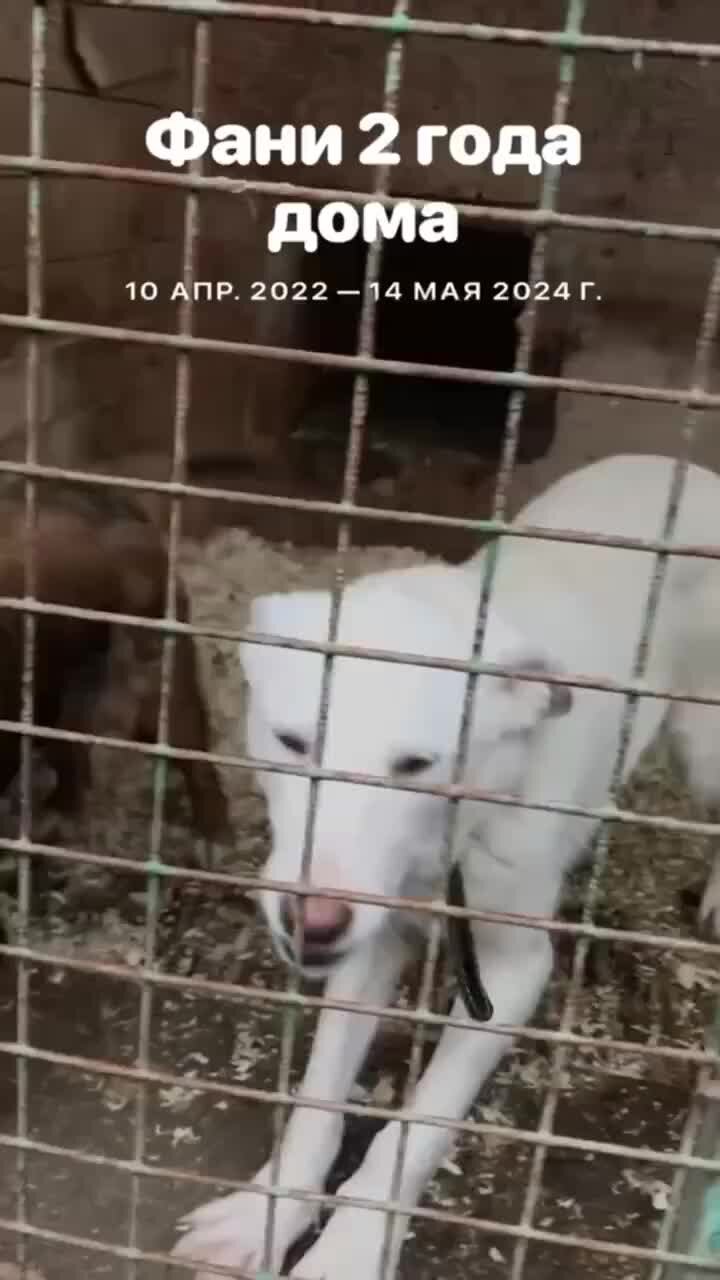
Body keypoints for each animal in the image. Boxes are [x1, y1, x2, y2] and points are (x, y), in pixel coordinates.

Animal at [172, 455, 717, 1274]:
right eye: (293, 742)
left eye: (417, 765)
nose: (312, 922)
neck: (437, 853)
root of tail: (688, 465)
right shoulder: (368, 944)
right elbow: (318, 1100)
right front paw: (269, 1215)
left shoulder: (515, 975)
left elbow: (415, 1128)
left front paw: (349, 1250)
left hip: (705, 750)